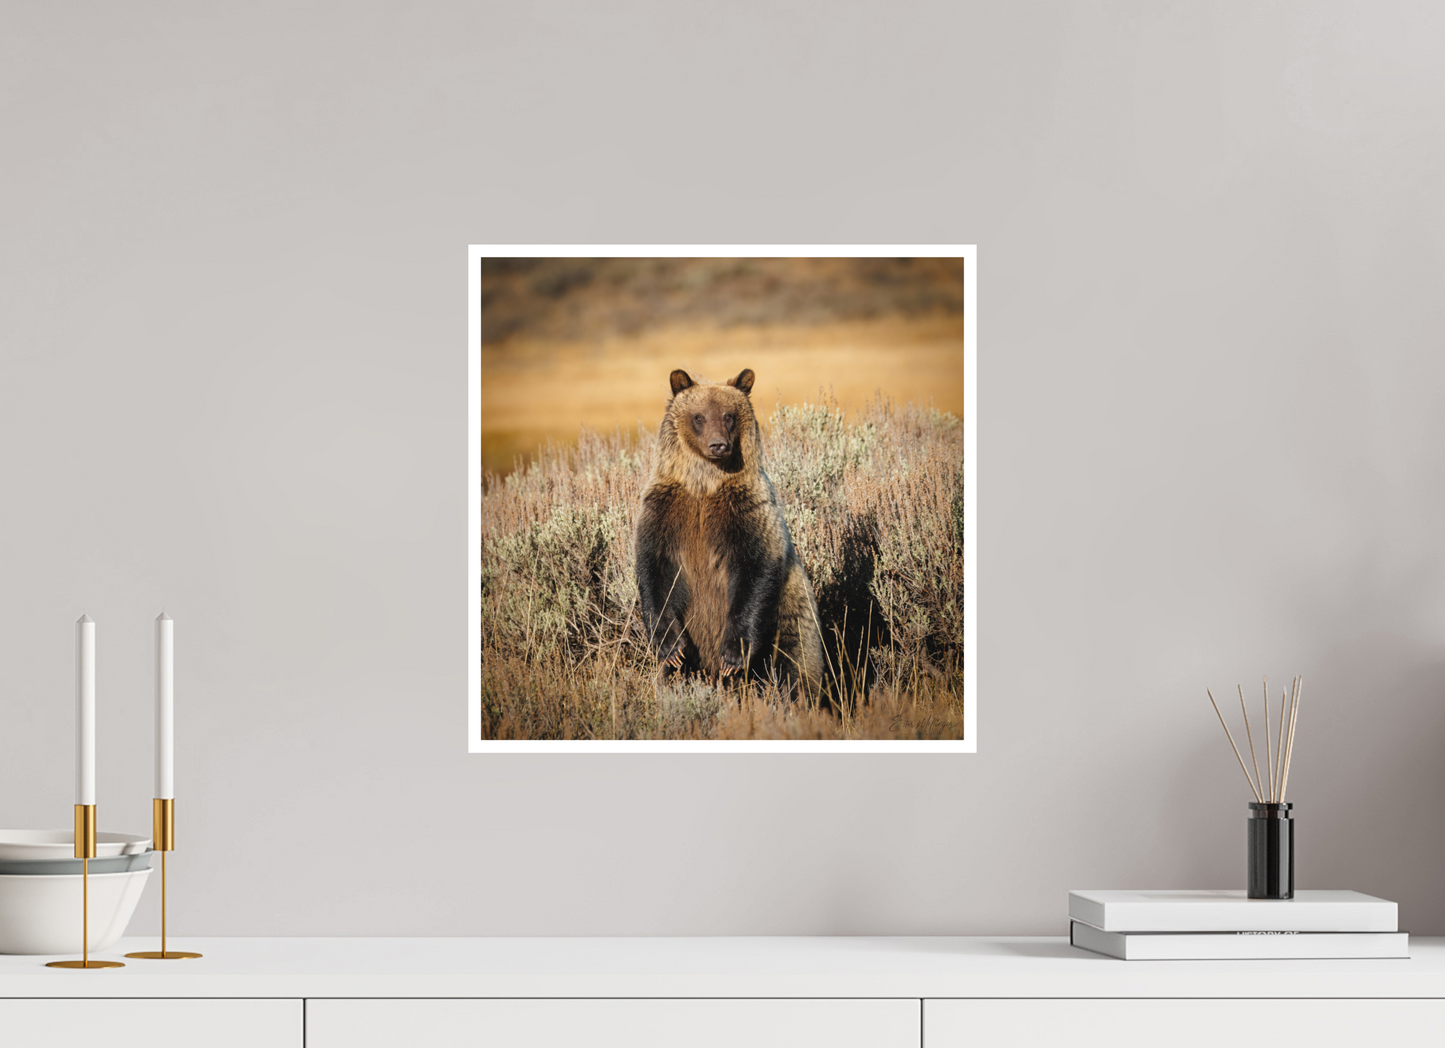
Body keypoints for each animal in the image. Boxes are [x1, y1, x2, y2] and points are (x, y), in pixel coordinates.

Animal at [634, 367, 825, 696]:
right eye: (699, 416)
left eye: (728, 416)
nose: (718, 445)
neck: (704, 485)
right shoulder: (665, 510)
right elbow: (654, 571)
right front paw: (670, 647)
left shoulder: (746, 510)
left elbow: (755, 569)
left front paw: (732, 655)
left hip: (792, 614)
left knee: (794, 665)